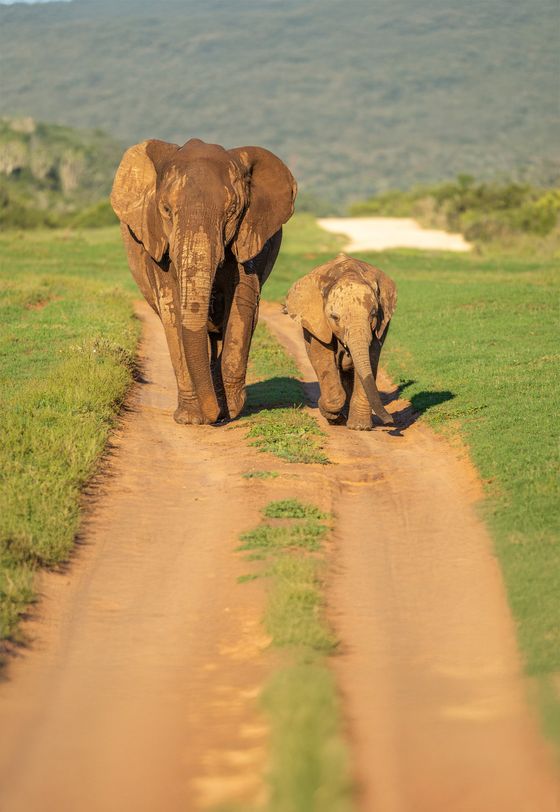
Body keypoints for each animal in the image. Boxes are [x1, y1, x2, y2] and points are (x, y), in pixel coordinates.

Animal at [110, 137, 297, 425]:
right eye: (166, 210)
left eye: (232, 211)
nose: (214, 416)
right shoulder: (157, 240)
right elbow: (172, 309)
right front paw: (191, 419)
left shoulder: (250, 235)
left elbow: (242, 302)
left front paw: (229, 410)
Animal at [285, 253, 397, 430]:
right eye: (335, 317)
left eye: (372, 315)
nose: (389, 421)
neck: (348, 273)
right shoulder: (317, 321)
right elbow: (322, 356)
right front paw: (332, 416)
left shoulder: (381, 323)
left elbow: (371, 358)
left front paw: (359, 427)